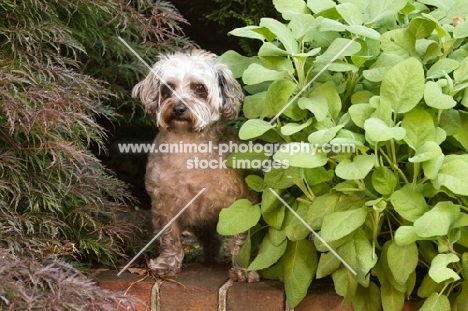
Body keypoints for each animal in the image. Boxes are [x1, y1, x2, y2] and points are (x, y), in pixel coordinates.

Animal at [131, 50, 260, 284]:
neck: (189, 145)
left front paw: (243, 269)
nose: (178, 108)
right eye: (168, 88)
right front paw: (167, 264)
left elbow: (241, 238)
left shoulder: (240, 201)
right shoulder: (164, 203)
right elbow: (170, 236)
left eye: (199, 88)